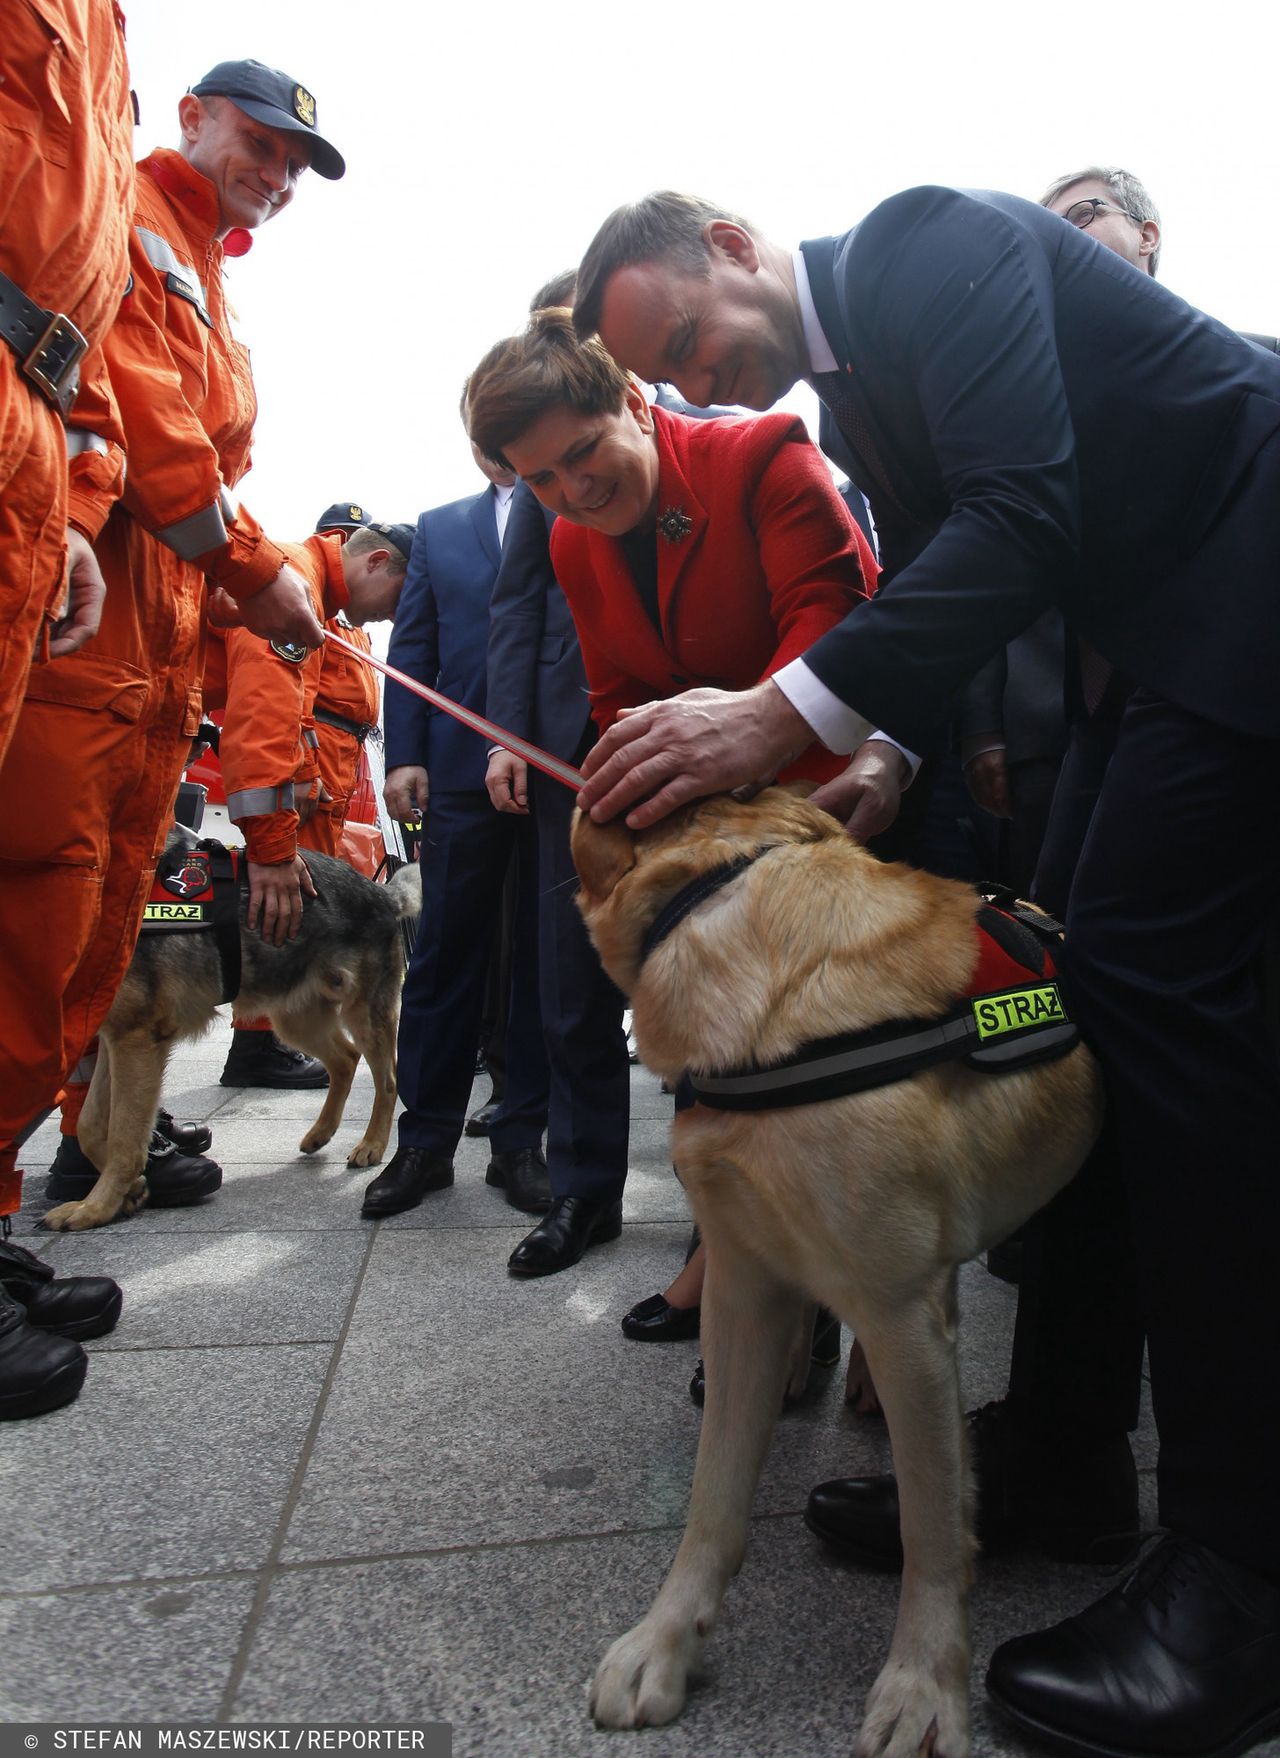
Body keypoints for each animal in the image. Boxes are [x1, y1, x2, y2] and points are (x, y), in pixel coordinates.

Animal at [576, 794, 1104, 1758]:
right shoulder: (741, 1289)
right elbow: (712, 1502)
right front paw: (666, 1641)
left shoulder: (903, 1314)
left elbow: (932, 1529)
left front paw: (924, 1685)